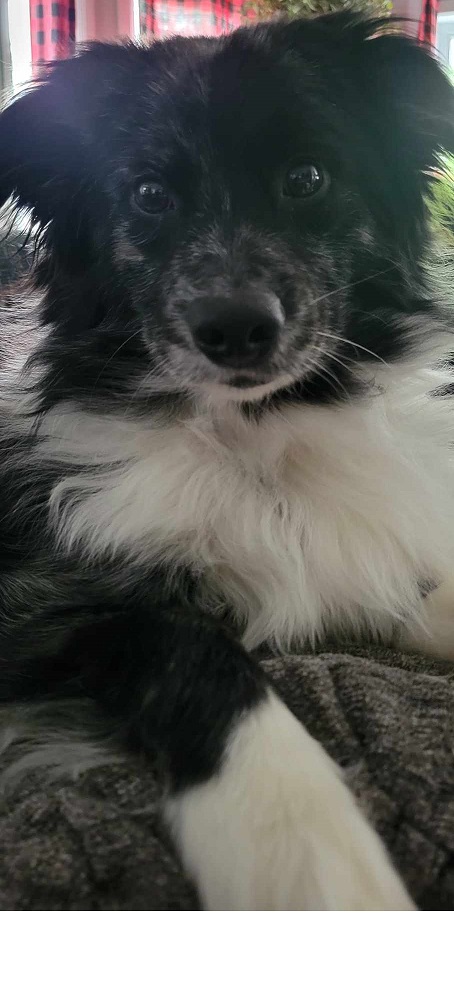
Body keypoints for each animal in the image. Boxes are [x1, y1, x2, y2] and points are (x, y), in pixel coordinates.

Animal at [0, 12, 453, 909]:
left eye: (307, 177)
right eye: (147, 195)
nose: (236, 327)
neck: (253, 435)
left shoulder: (368, 556)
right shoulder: (39, 601)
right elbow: (199, 657)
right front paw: (309, 854)